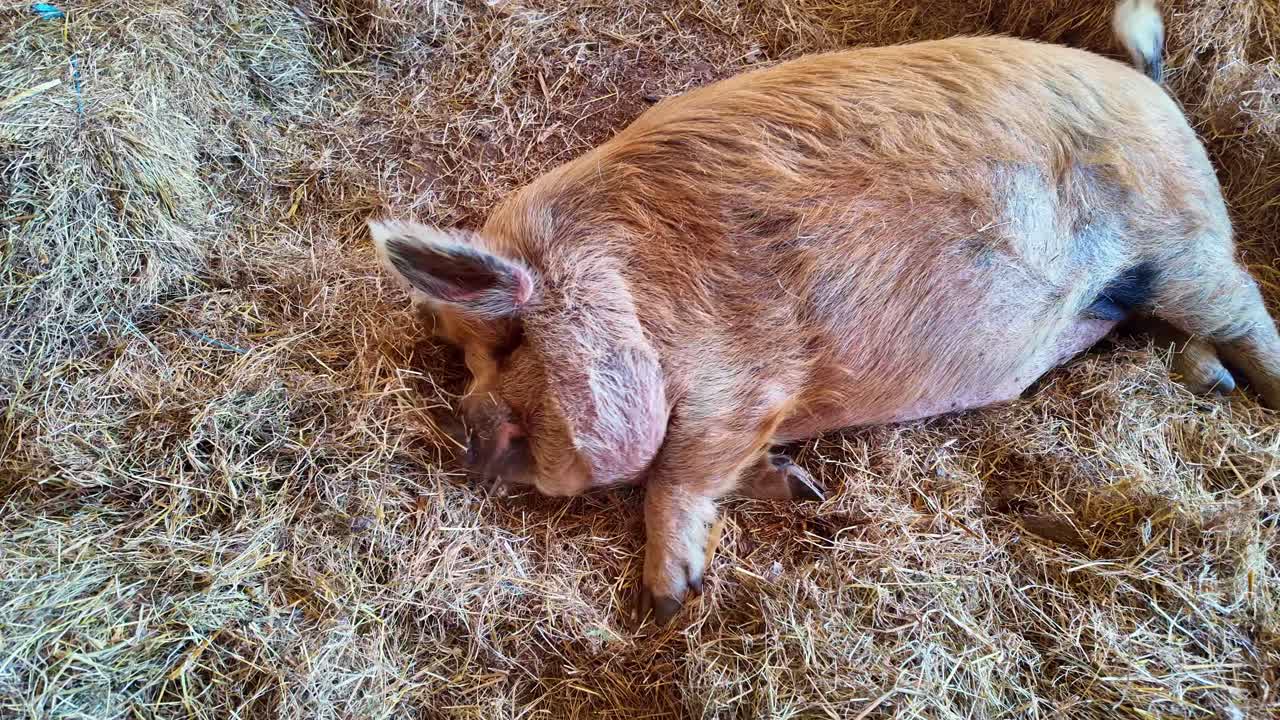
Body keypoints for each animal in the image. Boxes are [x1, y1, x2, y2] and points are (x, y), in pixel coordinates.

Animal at [370, 0, 1280, 624]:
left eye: (505, 339)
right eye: (463, 358)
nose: (460, 433)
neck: (636, 296)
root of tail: (1152, 87)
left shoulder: (743, 381)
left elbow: (676, 472)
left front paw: (669, 599)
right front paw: (798, 488)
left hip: (1185, 245)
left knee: (1247, 312)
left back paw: (1253, 388)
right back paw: (1211, 383)